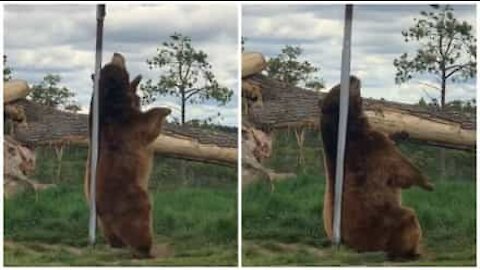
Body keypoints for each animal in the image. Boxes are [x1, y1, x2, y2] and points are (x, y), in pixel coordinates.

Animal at [84, 53, 171, 258]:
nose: (118, 54)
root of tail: (101, 209)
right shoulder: (128, 124)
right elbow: (147, 124)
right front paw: (165, 110)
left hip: (104, 222)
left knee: (112, 234)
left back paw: (117, 245)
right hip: (132, 201)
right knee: (139, 225)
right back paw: (145, 250)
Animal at [318, 75, 436, 260]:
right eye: (341, 86)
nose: (352, 77)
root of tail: (350, 245)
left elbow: (391, 139)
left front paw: (401, 133)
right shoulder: (371, 148)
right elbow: (400, 166)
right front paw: (427, 183)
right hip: (381, 222)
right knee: (408, 218)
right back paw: (411, 251)